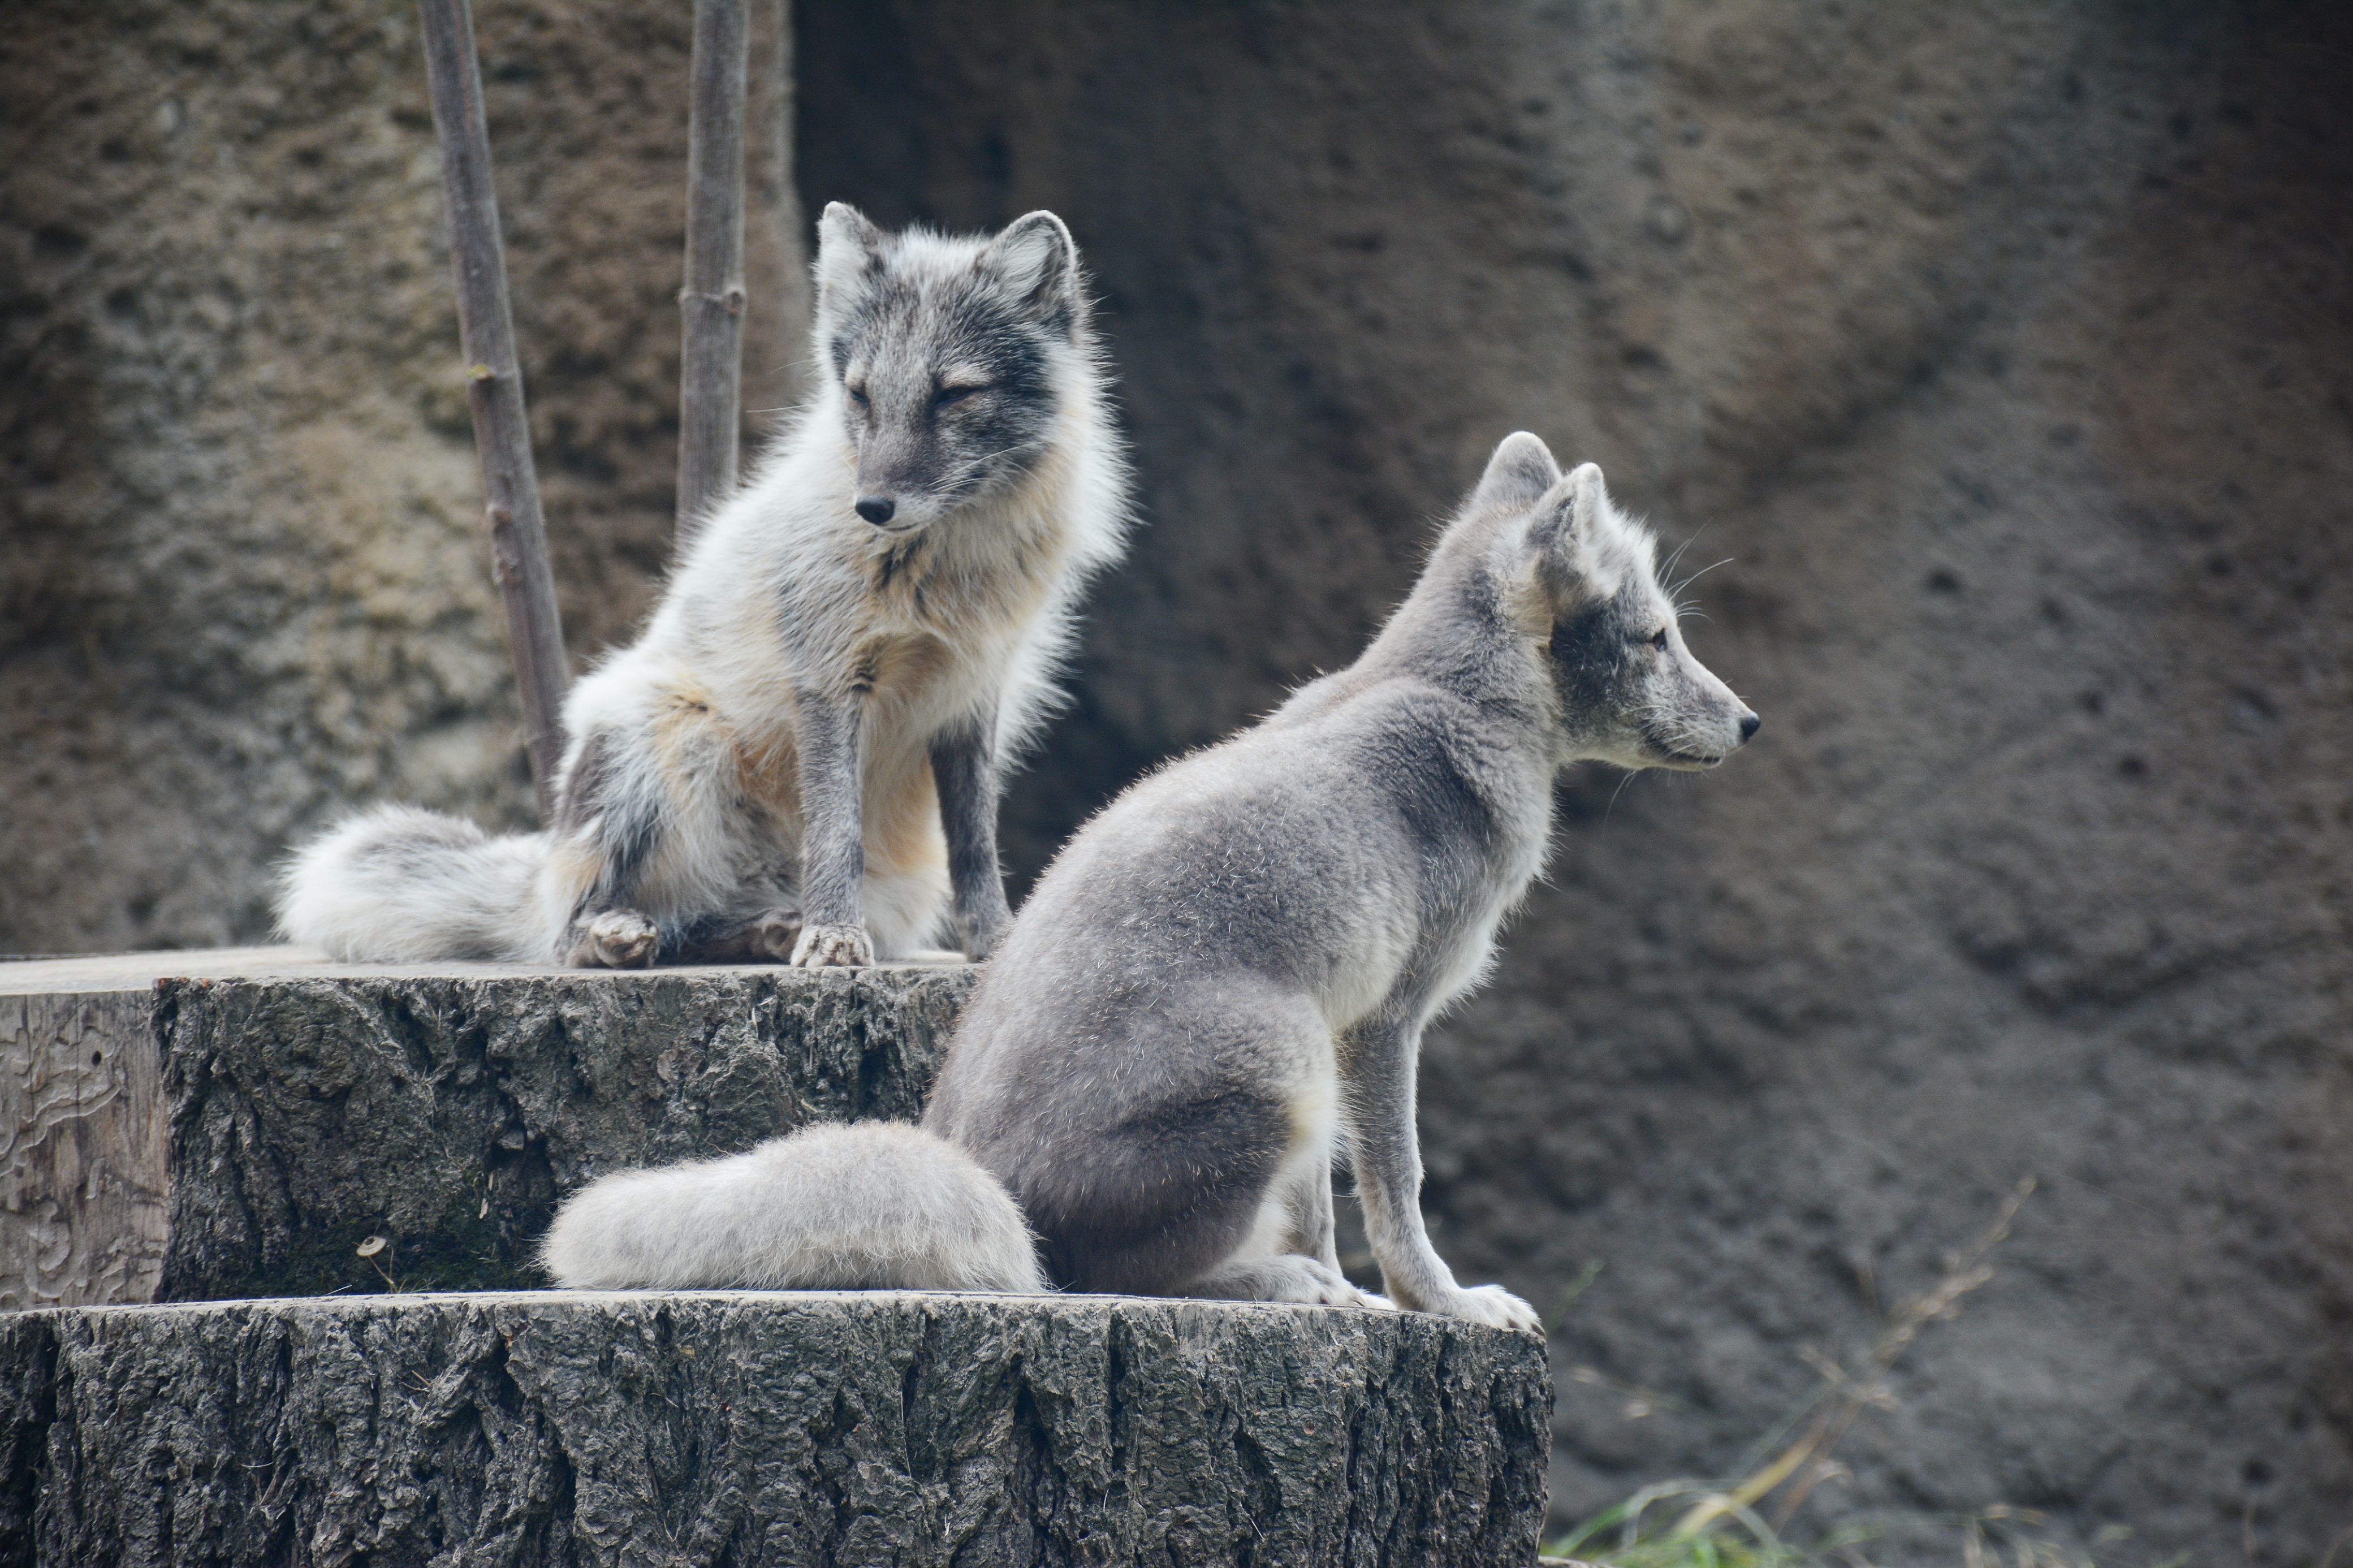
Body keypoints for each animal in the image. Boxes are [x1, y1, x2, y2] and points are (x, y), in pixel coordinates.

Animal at [277, 205, 1131, 968]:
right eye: (860, 395)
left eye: (954, 393)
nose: (872, 507)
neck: (951, 565)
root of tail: (546, 861)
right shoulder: (827, 678)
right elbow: (837, 833)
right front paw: (833, 939)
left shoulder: (973, 694)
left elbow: (976, 843)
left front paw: (997, 946)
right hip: (665, 742)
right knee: (570, 934)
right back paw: (619, 936)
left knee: (699, 925)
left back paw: (767, 930)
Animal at [542, 433, 1758, 1327]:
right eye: (1658, 638)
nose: (1751, 722)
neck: (1449, 696)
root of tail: (987, 1179)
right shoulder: (1385, 1021)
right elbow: (1397, 1190)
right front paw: (1440, 1303)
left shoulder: (1344, 1024)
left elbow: (1322, 1208)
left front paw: (1359, 1296)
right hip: (1277, 1056)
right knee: (1109, 1277)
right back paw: (1267, 1285)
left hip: (1296, 1059)